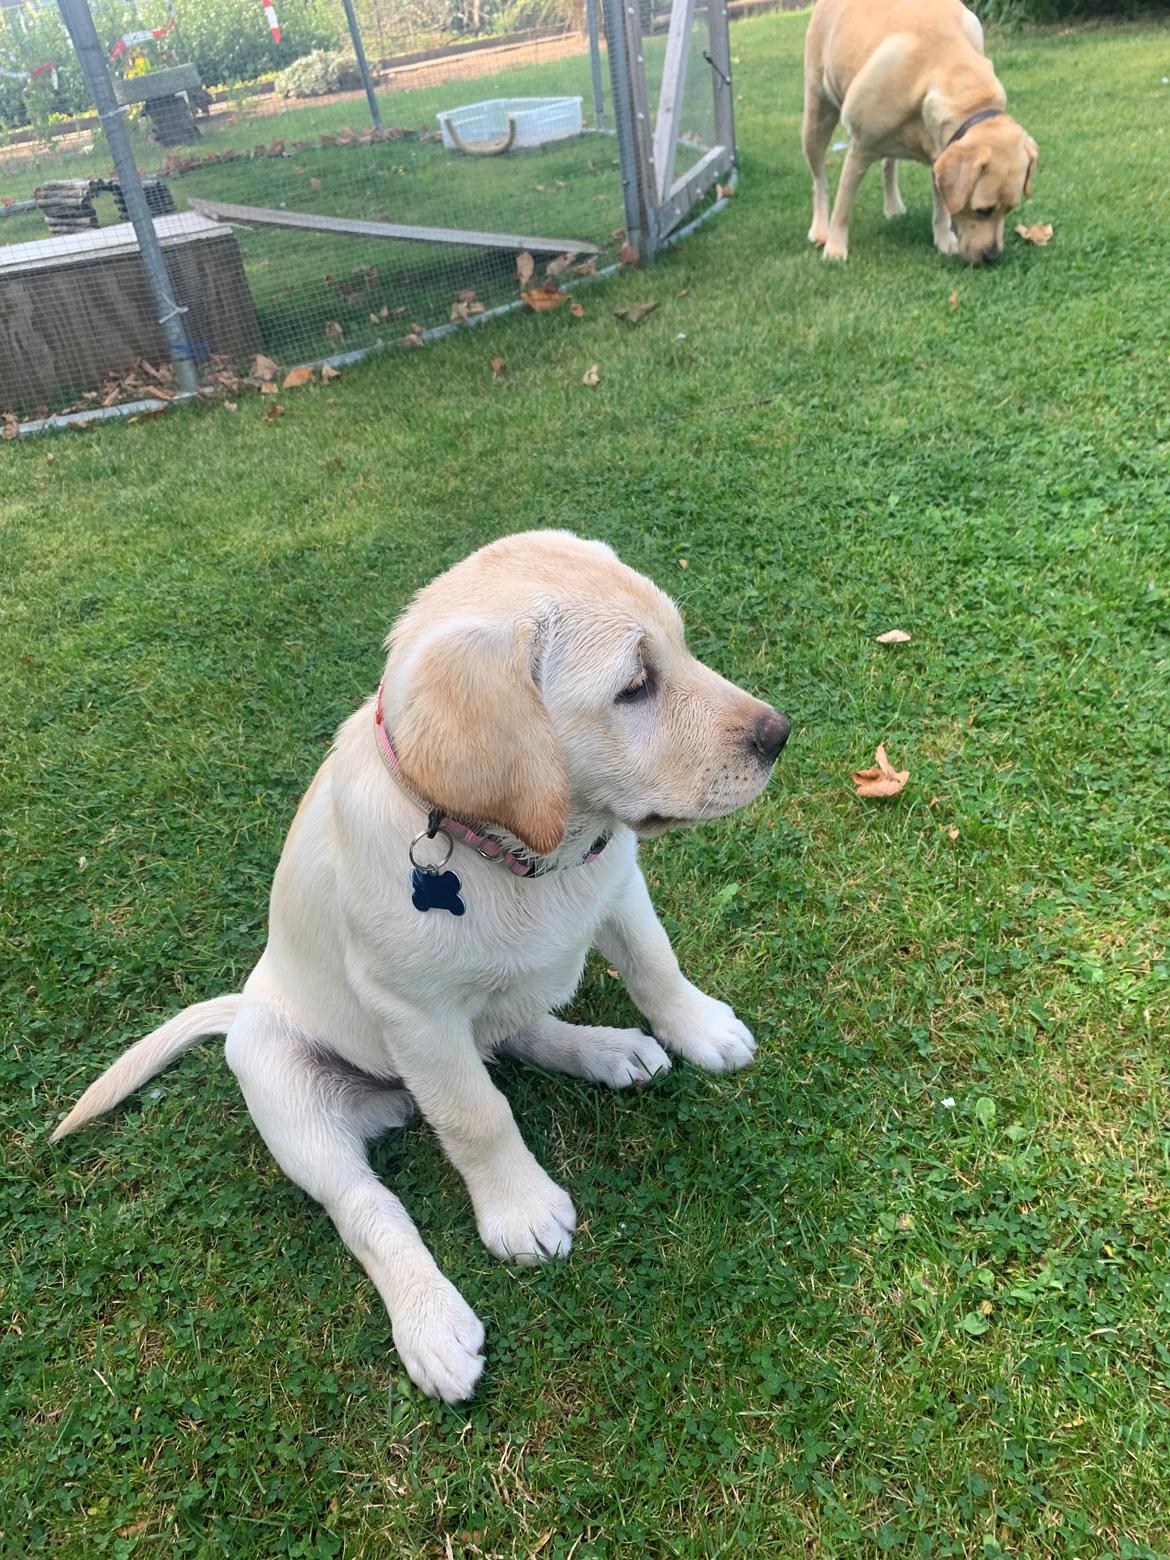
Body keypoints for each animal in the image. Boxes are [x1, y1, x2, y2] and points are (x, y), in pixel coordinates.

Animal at [50, 530, 792, 1410]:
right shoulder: (416, 1013)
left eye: (679, 646)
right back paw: (430, 1322)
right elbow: (476, 1117)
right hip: (281, 1084)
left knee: (516, 1032)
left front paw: (698, 1028)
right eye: (635, 686)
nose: (780, 734)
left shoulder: (618, 884)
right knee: (367, 1205)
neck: (522, 856)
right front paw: (519, 1209)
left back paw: (609, 1049)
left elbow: (655, 963)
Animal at [804, 0, 1042, 262]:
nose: (992, 257)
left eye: (1010, 208)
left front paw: (944, 239)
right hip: (816, 119)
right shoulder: (860, 149)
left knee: (888, 164)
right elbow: (843, 207)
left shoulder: (941, 152)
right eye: (983, 211)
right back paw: (820, 228)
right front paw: (835, 248)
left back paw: (893, 206)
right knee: (819, 181)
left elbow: (941, 205)